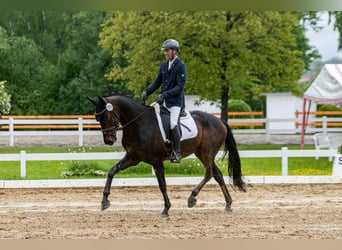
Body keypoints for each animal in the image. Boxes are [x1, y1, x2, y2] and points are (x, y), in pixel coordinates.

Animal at [87, 93, 244, 218]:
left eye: (106, 116)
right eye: (97, 118)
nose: (109, 141)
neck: (138, 123)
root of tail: (220, 121)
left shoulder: (156, 160)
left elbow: (162, 184)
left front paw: (166, 209)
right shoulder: (133, 158)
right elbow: (112, 171)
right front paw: (105, 201)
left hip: (207, 153)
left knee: (210, 173)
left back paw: (192, 198)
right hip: (202, 153)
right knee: (217, 174)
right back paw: (228, 204)